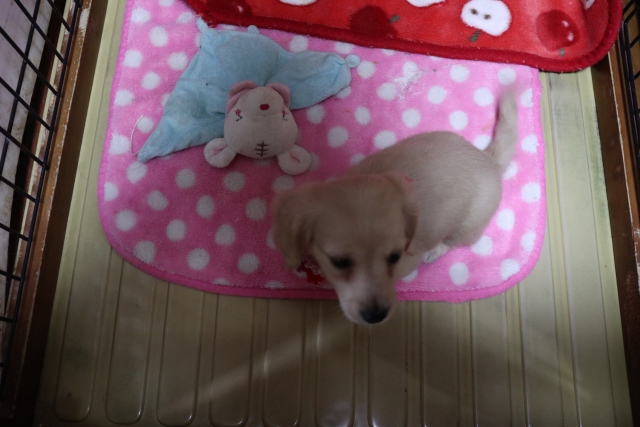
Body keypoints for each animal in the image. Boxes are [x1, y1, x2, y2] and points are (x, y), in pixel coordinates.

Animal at [271, 92, 518, 324]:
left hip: (468, 224)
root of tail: (488, 159)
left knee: (454, 241)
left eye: (395, 257)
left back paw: (435, 251)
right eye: (339, 261)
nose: (376, 316)